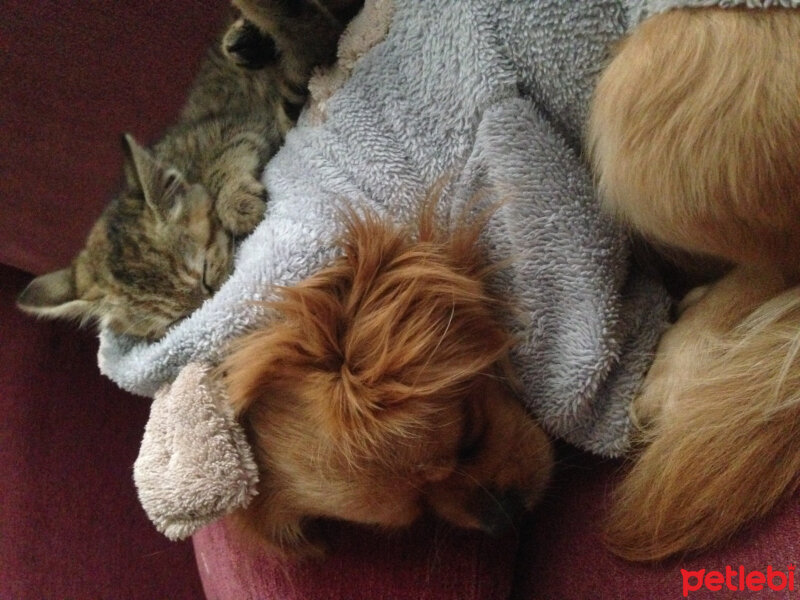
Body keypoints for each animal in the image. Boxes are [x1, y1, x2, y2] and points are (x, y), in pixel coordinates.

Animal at [17, 0, 360, 338]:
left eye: (206, 272)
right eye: (175, 321)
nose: (211, 303)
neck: (185, 161)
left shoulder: (243, 126)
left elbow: (231, 153)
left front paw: (237, 204)